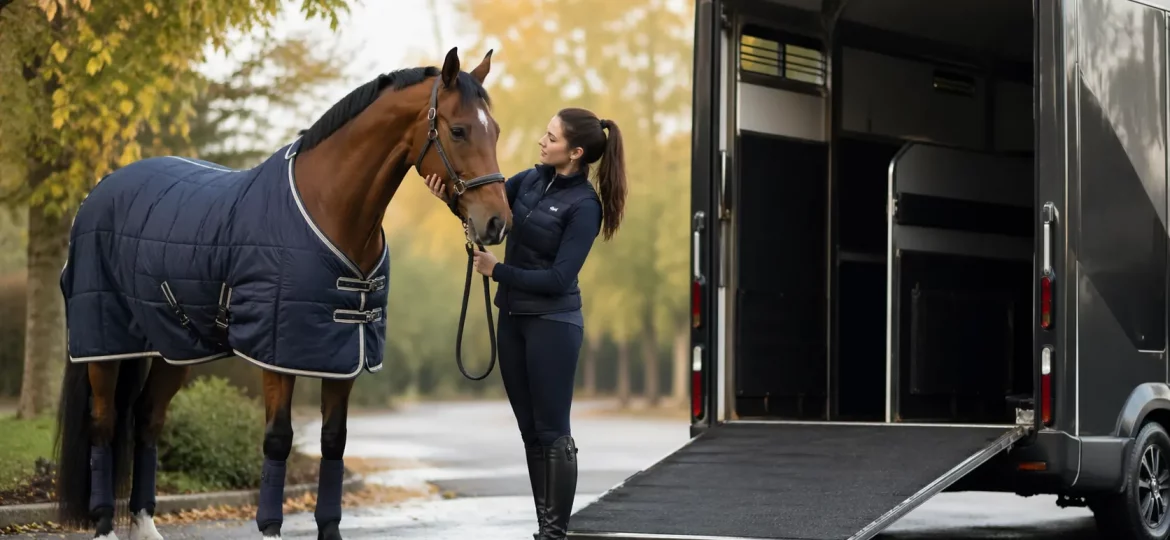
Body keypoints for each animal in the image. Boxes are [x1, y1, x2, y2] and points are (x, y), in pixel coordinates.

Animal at [51, 47, 509, 540]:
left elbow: (334, 442)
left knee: (146, 420)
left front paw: (329, 528)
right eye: (458, 130)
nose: (497, 223)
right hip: (104, 343)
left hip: (172, 348)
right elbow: (277, 439)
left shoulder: (343, 353)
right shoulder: (276, 352)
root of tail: (99, 191)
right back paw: (104, 524)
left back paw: (144, 524)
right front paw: (270, 526)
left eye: (496, 130)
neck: (328, 208)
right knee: (103, 423)